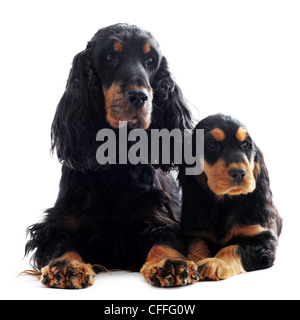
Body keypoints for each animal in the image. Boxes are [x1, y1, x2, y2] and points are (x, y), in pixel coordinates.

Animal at [25, 23, 199, 288]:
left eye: (150, 60)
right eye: (110, 57)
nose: (139, 96)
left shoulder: (163, 214)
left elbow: (165, 238)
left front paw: (169, 263)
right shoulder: (56, 223)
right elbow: (60, 242)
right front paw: (66, 265)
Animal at [179, 114, 282, 280]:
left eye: (246, 144)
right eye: (212, 145)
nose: (238, 173)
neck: (225, 202)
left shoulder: (264, 239)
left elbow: (235, 247)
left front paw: (215, 263)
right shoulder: (192, 233)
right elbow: (197, 243)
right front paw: (194, 262)